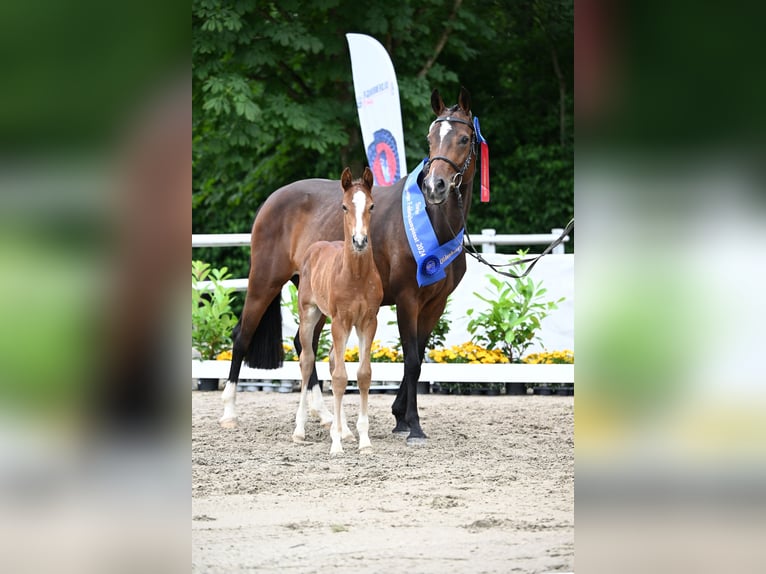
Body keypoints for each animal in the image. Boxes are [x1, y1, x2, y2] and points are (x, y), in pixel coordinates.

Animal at [292, 166, 384, 454]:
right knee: (307, 361)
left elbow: (362, 375)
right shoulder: (340, 321)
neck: (355, 276)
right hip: (311, 315)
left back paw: (345, 431)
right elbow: (340, 378)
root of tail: (314, 247)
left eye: (372, 206)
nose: (359, 240)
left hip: (329, 320)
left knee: (333, 359)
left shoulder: (367, 321)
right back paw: (300, 430)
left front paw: (363, 440)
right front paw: (335, 445)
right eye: (344, 206)